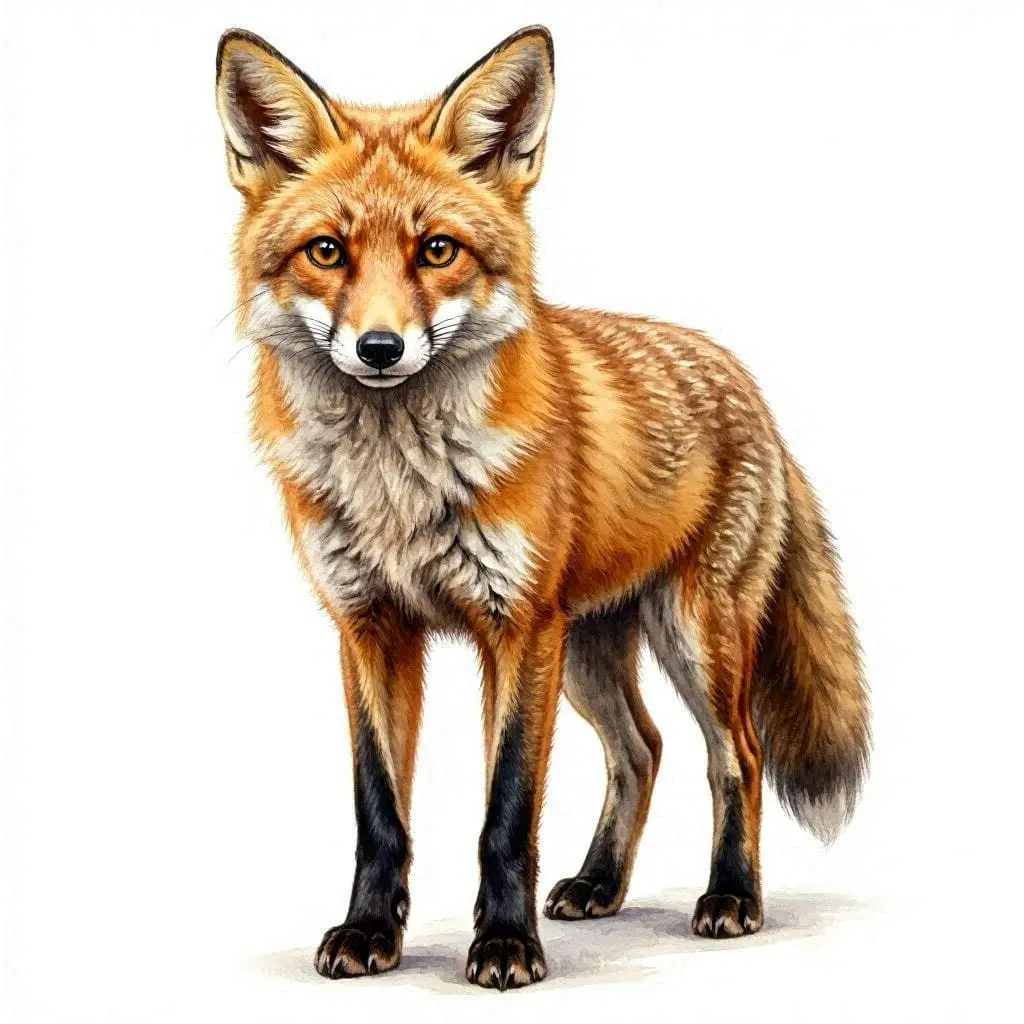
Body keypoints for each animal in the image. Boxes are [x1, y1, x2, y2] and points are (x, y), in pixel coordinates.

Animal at [215, 25, 870, 990]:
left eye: (437, 250)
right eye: (327, 252)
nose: (380, 348)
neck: (398, 486)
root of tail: (741, 379)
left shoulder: (517, 627)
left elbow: (507, 813)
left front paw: (504, 944)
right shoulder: (370, 626)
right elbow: (379, 810)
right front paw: (371, 932)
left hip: (692, 636)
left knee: (736, 755)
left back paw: (732, 896)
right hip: (591, 650)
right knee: (642, 750)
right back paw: (600, 883)